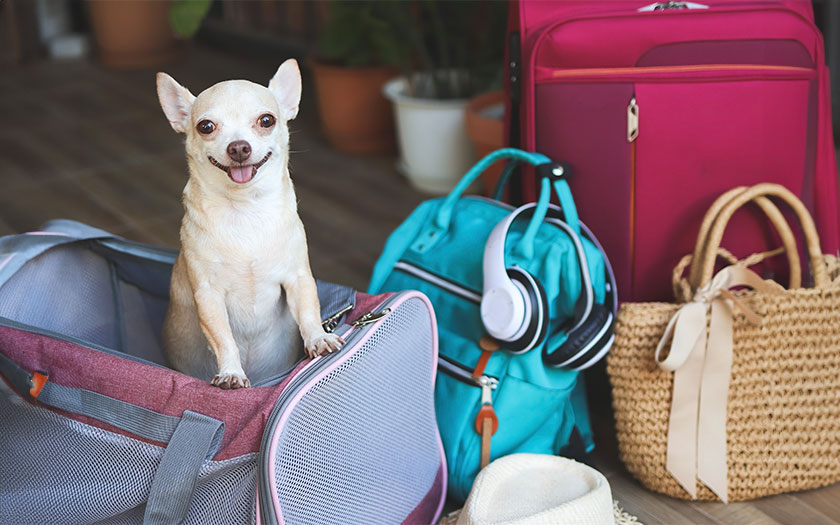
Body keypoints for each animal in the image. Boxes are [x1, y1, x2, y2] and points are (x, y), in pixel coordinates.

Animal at [156, 60, 342, 388]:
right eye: (206, 126)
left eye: (266, 120)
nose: (239, 147)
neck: (245, 210)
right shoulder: (209, 295)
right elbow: (224, 338)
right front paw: (231, 371)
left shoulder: (298, 278)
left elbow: (309, 312)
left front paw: (319, 339)